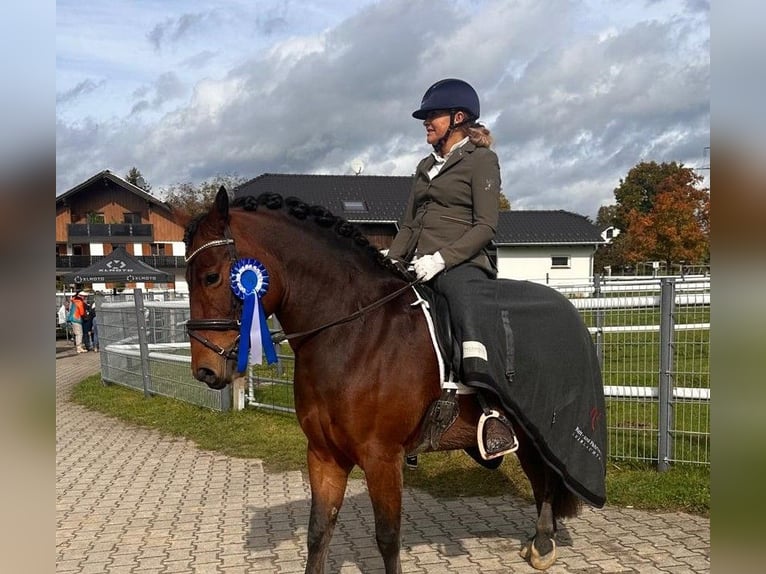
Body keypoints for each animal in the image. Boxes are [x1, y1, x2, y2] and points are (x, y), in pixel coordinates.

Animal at [186, 189, 592, 574]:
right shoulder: (323, 454)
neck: (352, 332)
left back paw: (543, 543)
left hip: (541, 427)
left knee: (547, 476)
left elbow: (387, 538)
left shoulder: (381, 457)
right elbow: (319, 530)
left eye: (211, 276)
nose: (205, 371)